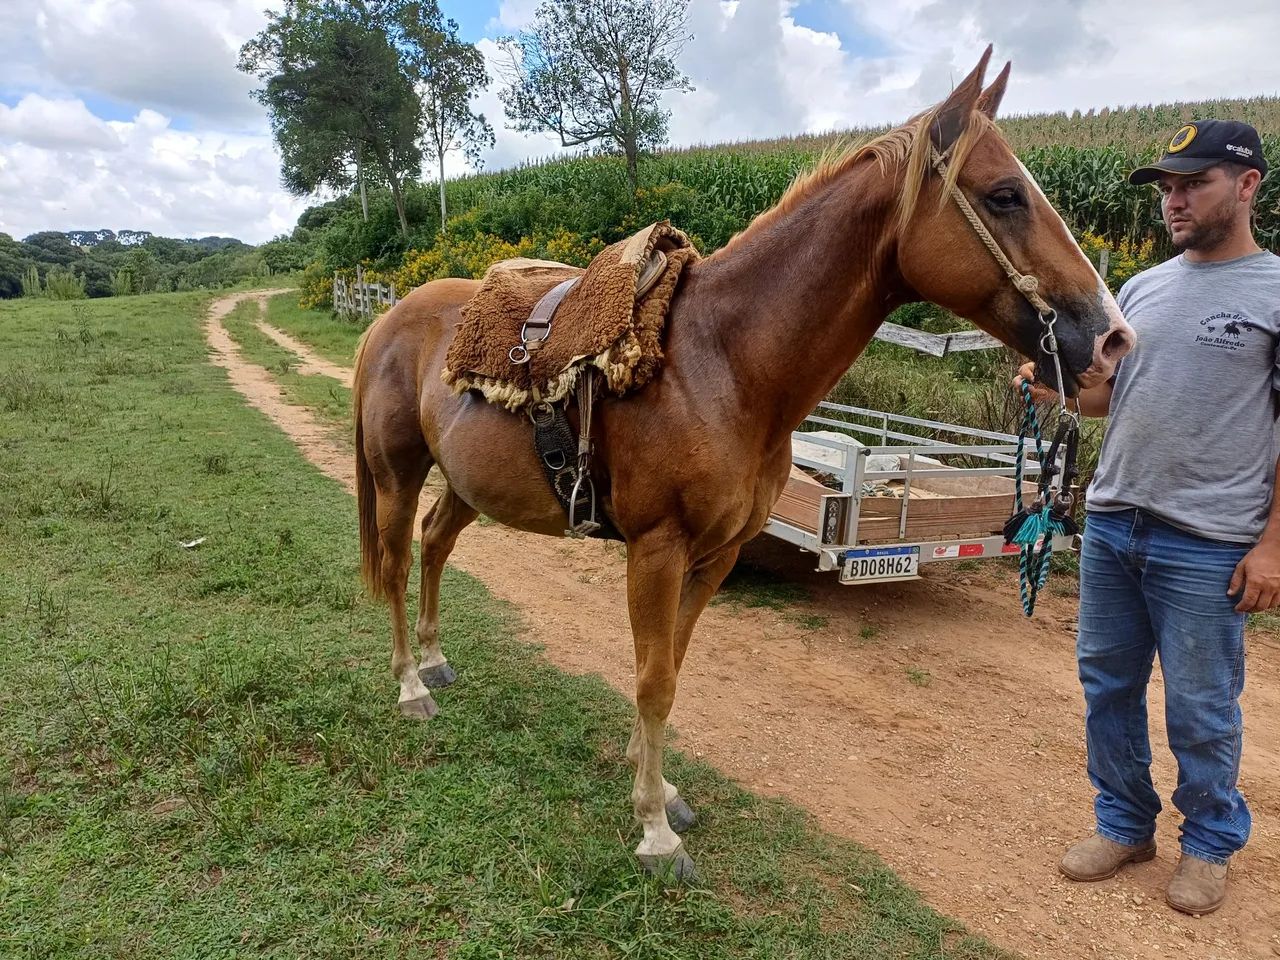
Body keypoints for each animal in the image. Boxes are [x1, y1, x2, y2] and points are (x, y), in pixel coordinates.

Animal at [351, 48, 1135, 880]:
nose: (1111, 341)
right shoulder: (657, 550)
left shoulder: (716, 554)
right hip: (398, 474)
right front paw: (655, 829)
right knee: (398, 561)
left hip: (465, 484)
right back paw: (411, 687)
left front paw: (659, 787)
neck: (723, 363)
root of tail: (390, 318)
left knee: (436, 543)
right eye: (1005, 195)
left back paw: (436, 661)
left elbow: (672, 665)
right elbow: (654, 678)